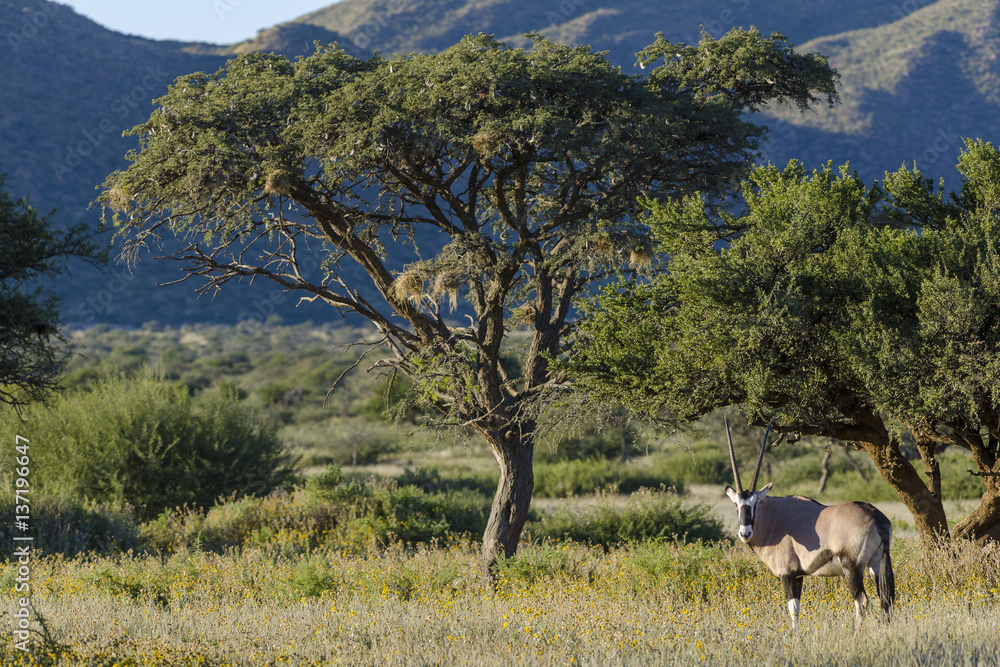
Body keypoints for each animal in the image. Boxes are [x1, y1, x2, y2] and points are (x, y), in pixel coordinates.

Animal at [724, 420, 896, 628]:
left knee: (861, 601)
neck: (774, 518)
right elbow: (796, 610)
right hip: (876, 564)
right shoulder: (799, 576)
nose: (745, 533)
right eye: (736, 504)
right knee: (886, 600)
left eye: (755, 503)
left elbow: (792, 610)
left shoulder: (788, 574)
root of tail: (876, 517)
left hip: (852, 566)